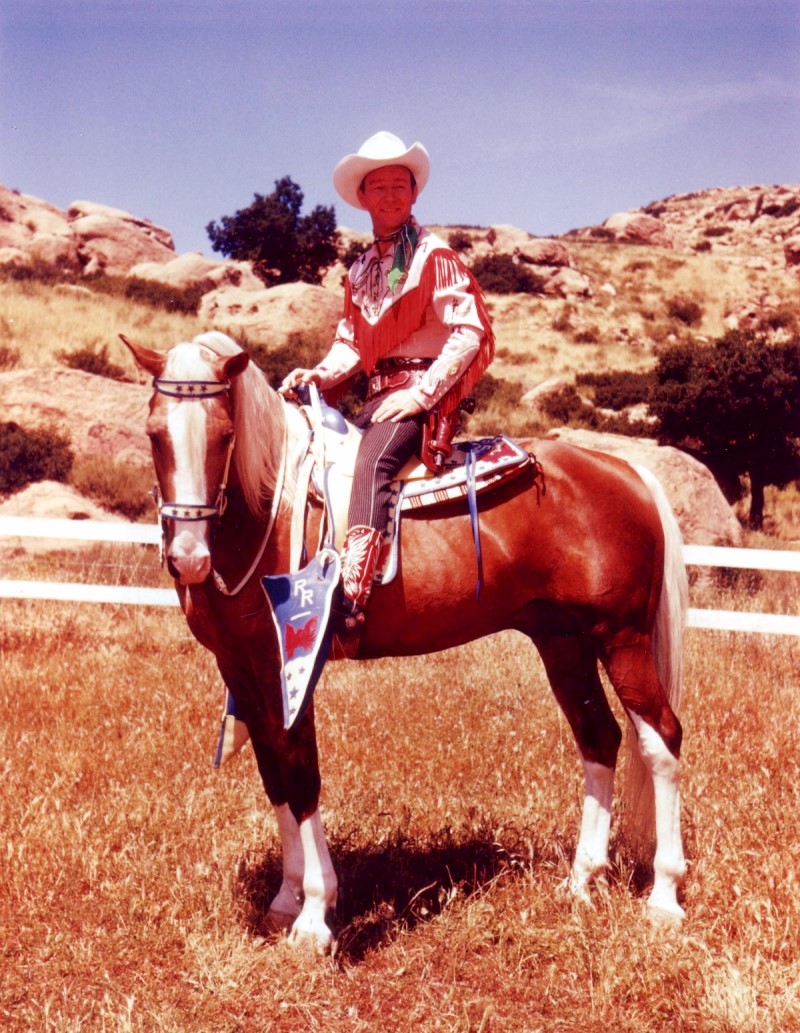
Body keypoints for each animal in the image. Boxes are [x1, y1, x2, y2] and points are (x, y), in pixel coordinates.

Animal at [121, 330, 688, 954]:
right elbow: (275, 775)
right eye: (154, 433)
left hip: (622, 638)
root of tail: (627, 472)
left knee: (661, 740)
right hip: (562, 640)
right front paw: (285, 901)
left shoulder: (290, 666)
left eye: (225, 435)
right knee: (599, 738)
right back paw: (582, 881)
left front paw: (314, 916)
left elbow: (302, 774)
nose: (188, 558)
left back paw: (664, 896)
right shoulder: (242, 669)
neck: (273, 507)